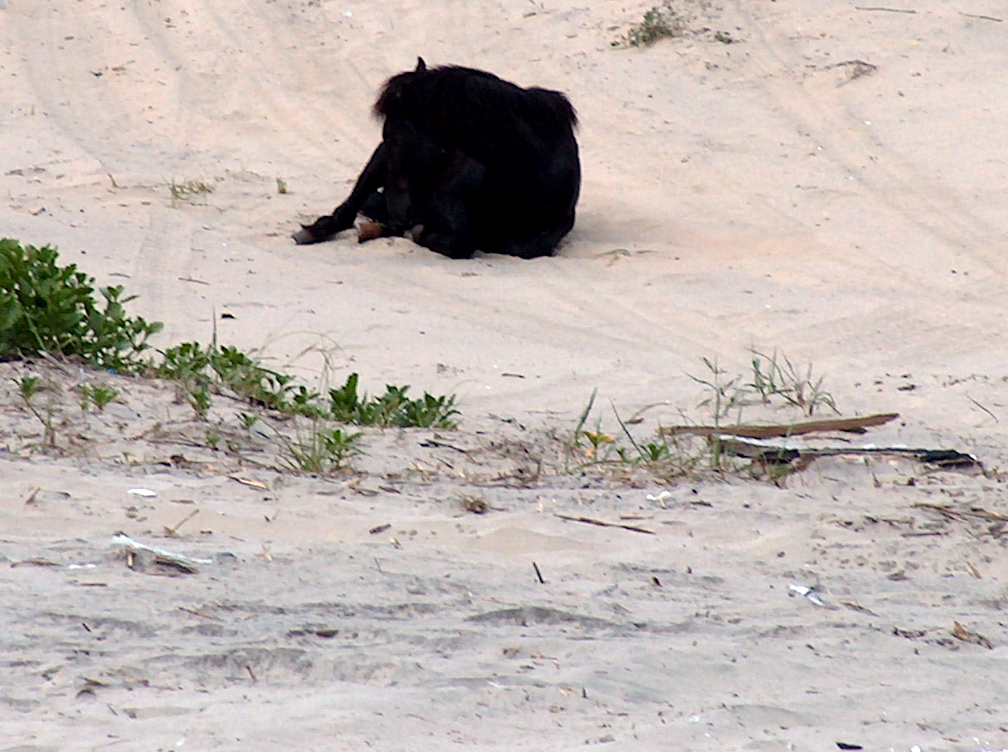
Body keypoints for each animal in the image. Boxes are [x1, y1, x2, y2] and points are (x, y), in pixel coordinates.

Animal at [292, 57, 580, 260]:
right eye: (387, 135)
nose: (399, 207)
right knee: (352, 204)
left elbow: (526, 247)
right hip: (377, 165)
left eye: (397, 136)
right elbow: (459, 241)